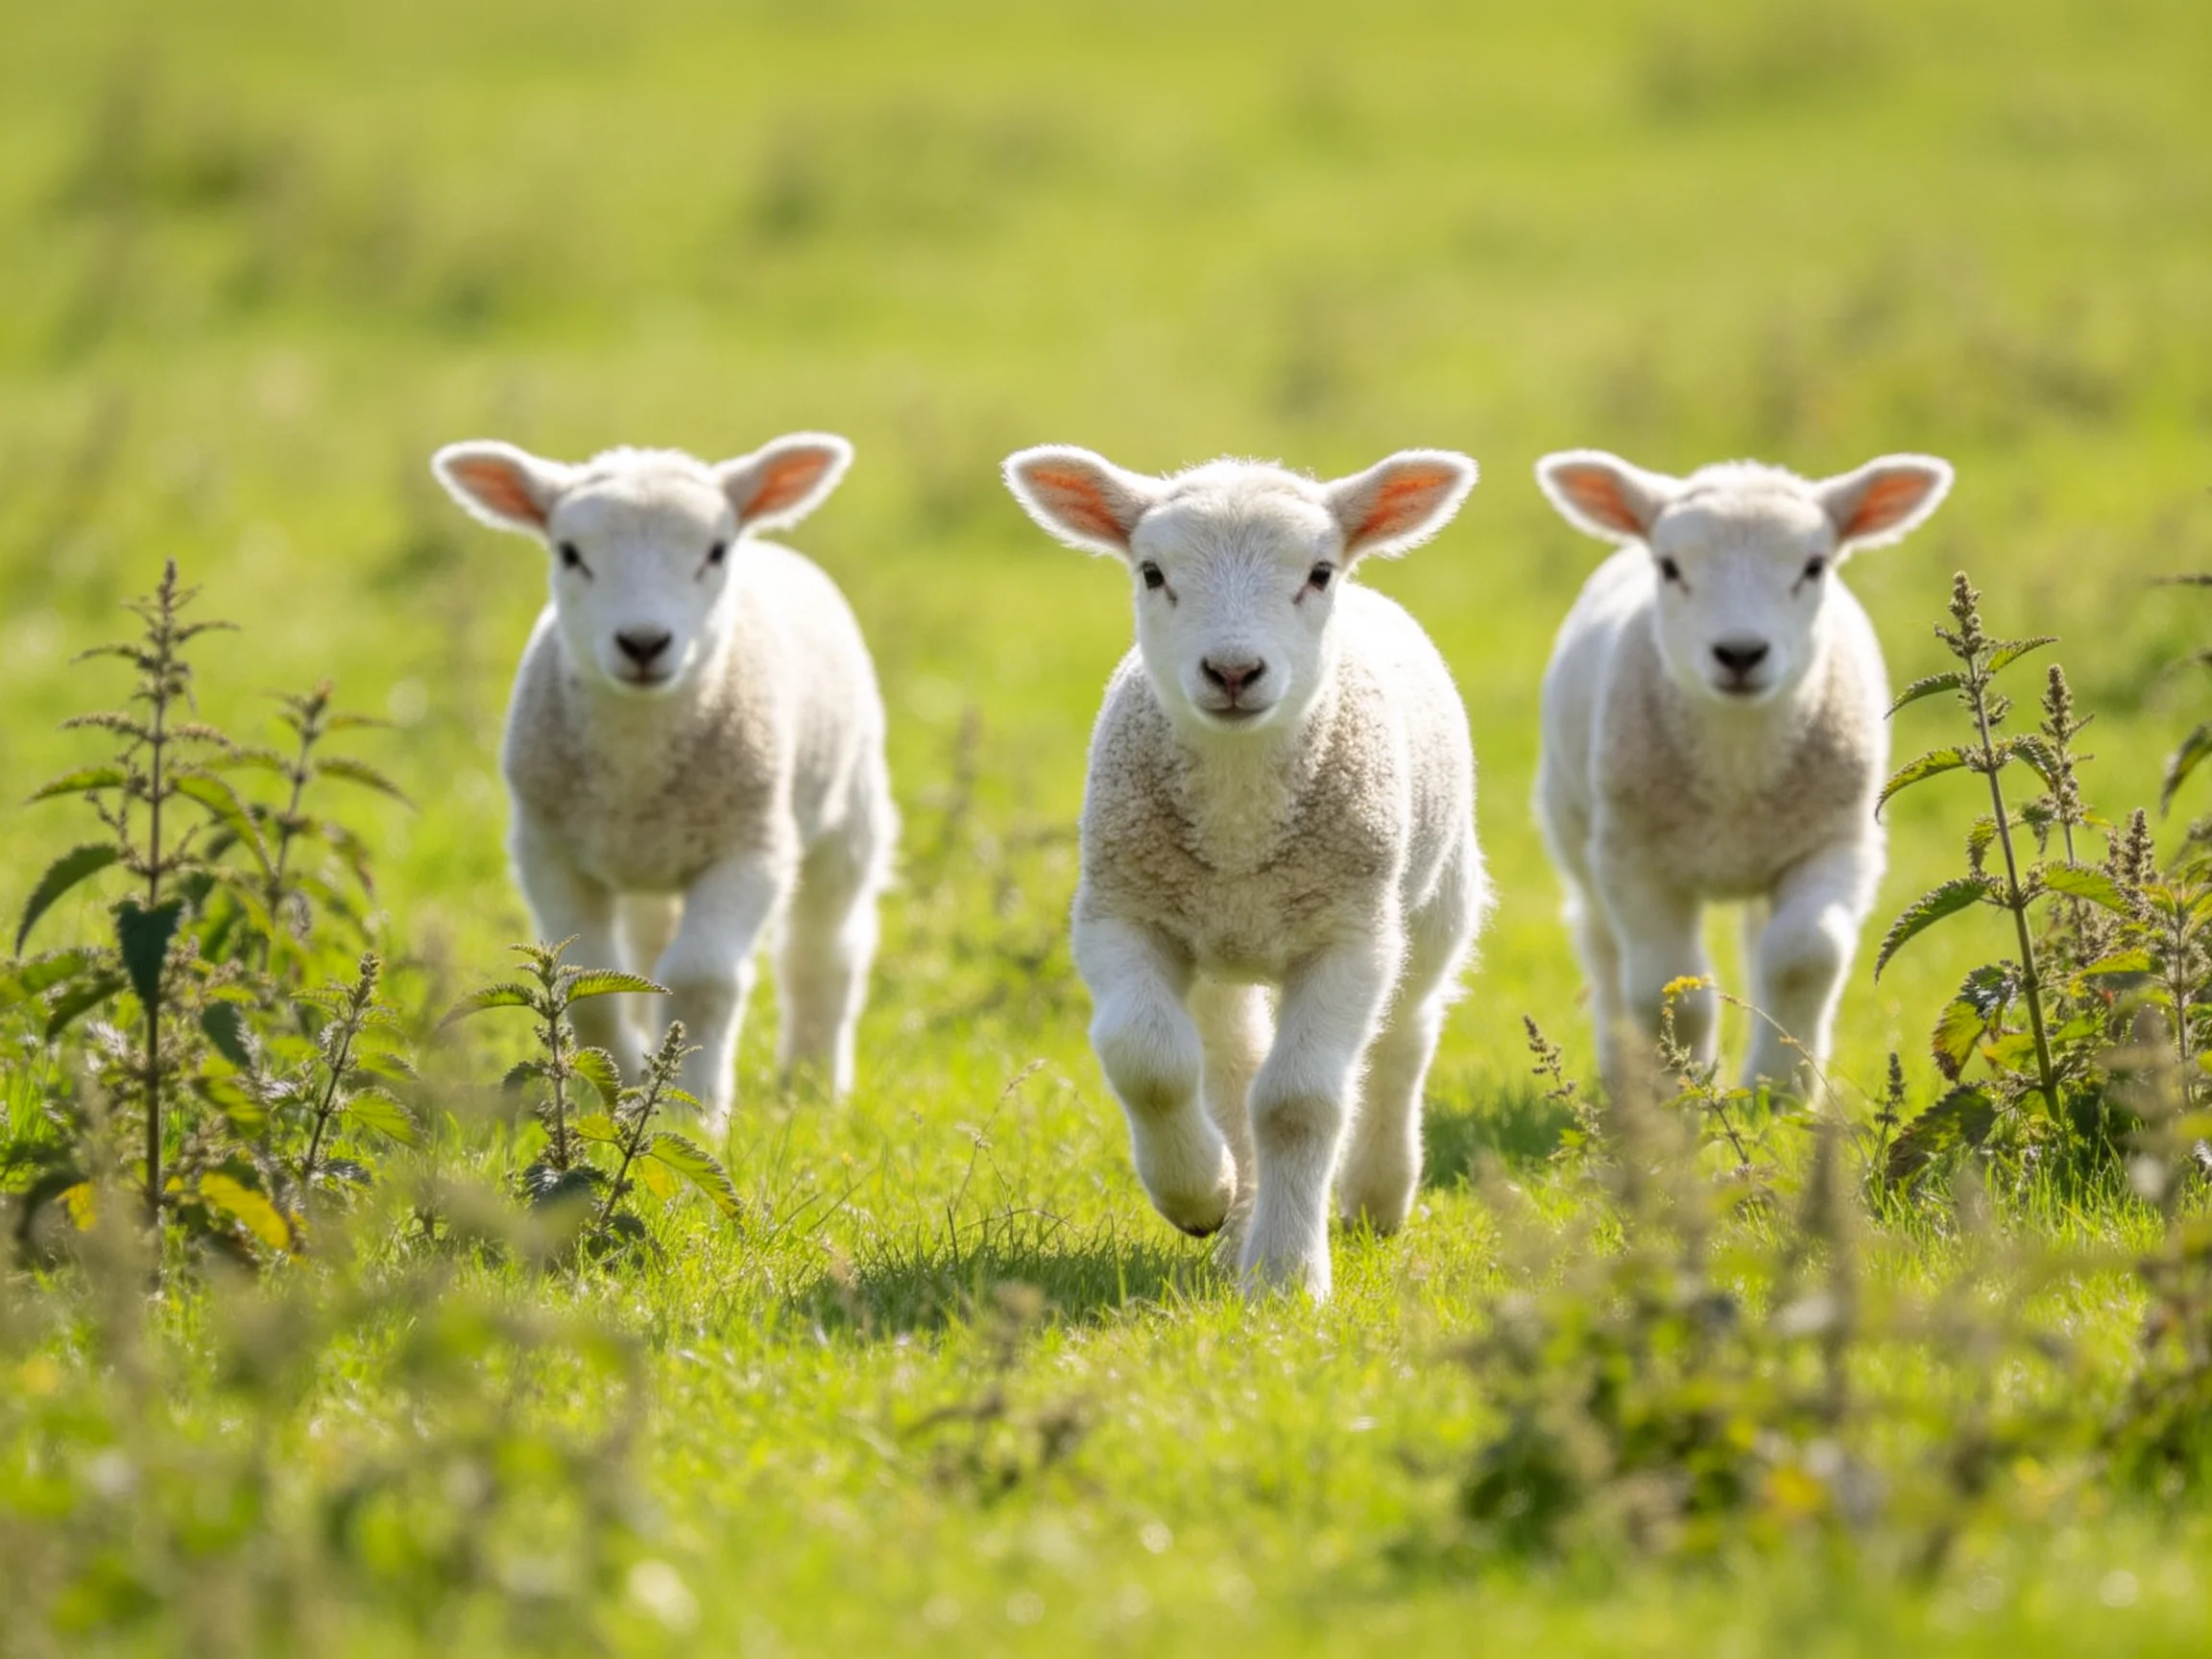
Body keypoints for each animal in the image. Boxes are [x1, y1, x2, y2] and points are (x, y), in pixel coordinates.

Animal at [430, 434, 895, 1123]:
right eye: (569, 553)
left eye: (715, 551)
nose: (644, 643)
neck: (639, 760)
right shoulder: (547, 849)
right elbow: (591, 979)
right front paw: (621, 1088)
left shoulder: (751, 847)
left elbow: (704, 976)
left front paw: (690, 1110)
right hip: (652, 862)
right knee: (650, 950)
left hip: (849, 808)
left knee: (824, 950)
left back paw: (814, 1081)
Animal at [1002, 444, 1488, 1300]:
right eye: (1152, 572)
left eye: (1320, 573)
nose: (1233, 671)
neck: (1240, 822)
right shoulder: (1121, 913)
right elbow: (1148, 1060)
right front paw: (1200, 1196)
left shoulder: (1349, 936)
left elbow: (1299, 1102)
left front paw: (1288, 1277)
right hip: (1217, 949)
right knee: (1231, 1068)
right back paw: (1234, 1223)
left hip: (1434, 901)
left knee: (1405, 1036)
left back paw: (1375, 1195)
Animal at [1531, 448, 1954, 1097]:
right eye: (1670, 567)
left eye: (1814, 566)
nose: (1739, 653)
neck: (1737, 764)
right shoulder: (1633, 857)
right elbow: (1665, 986)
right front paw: (1681, 1092)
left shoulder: (1840, 841)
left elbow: (1804, 955)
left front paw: (1780, 1087)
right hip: (1577, 832)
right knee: (1602, 946)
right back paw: (1625, 1076)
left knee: (1764, 944)